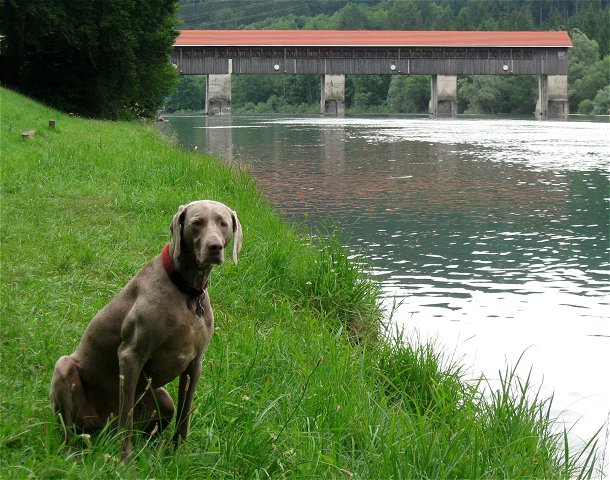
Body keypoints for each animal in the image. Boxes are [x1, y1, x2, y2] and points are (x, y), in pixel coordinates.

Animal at [49, 201, 242, 460]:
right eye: (196, 222)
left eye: (223, 223)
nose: (215, 247)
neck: (186, 291)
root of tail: (102, 427)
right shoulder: (130, 356)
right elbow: (126, 417)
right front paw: (125, 459)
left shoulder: (194, 364)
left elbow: (185, 413)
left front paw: (179, 454)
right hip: (64, 369)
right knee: (70, 429)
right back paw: (73, 452)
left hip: (163, 397)